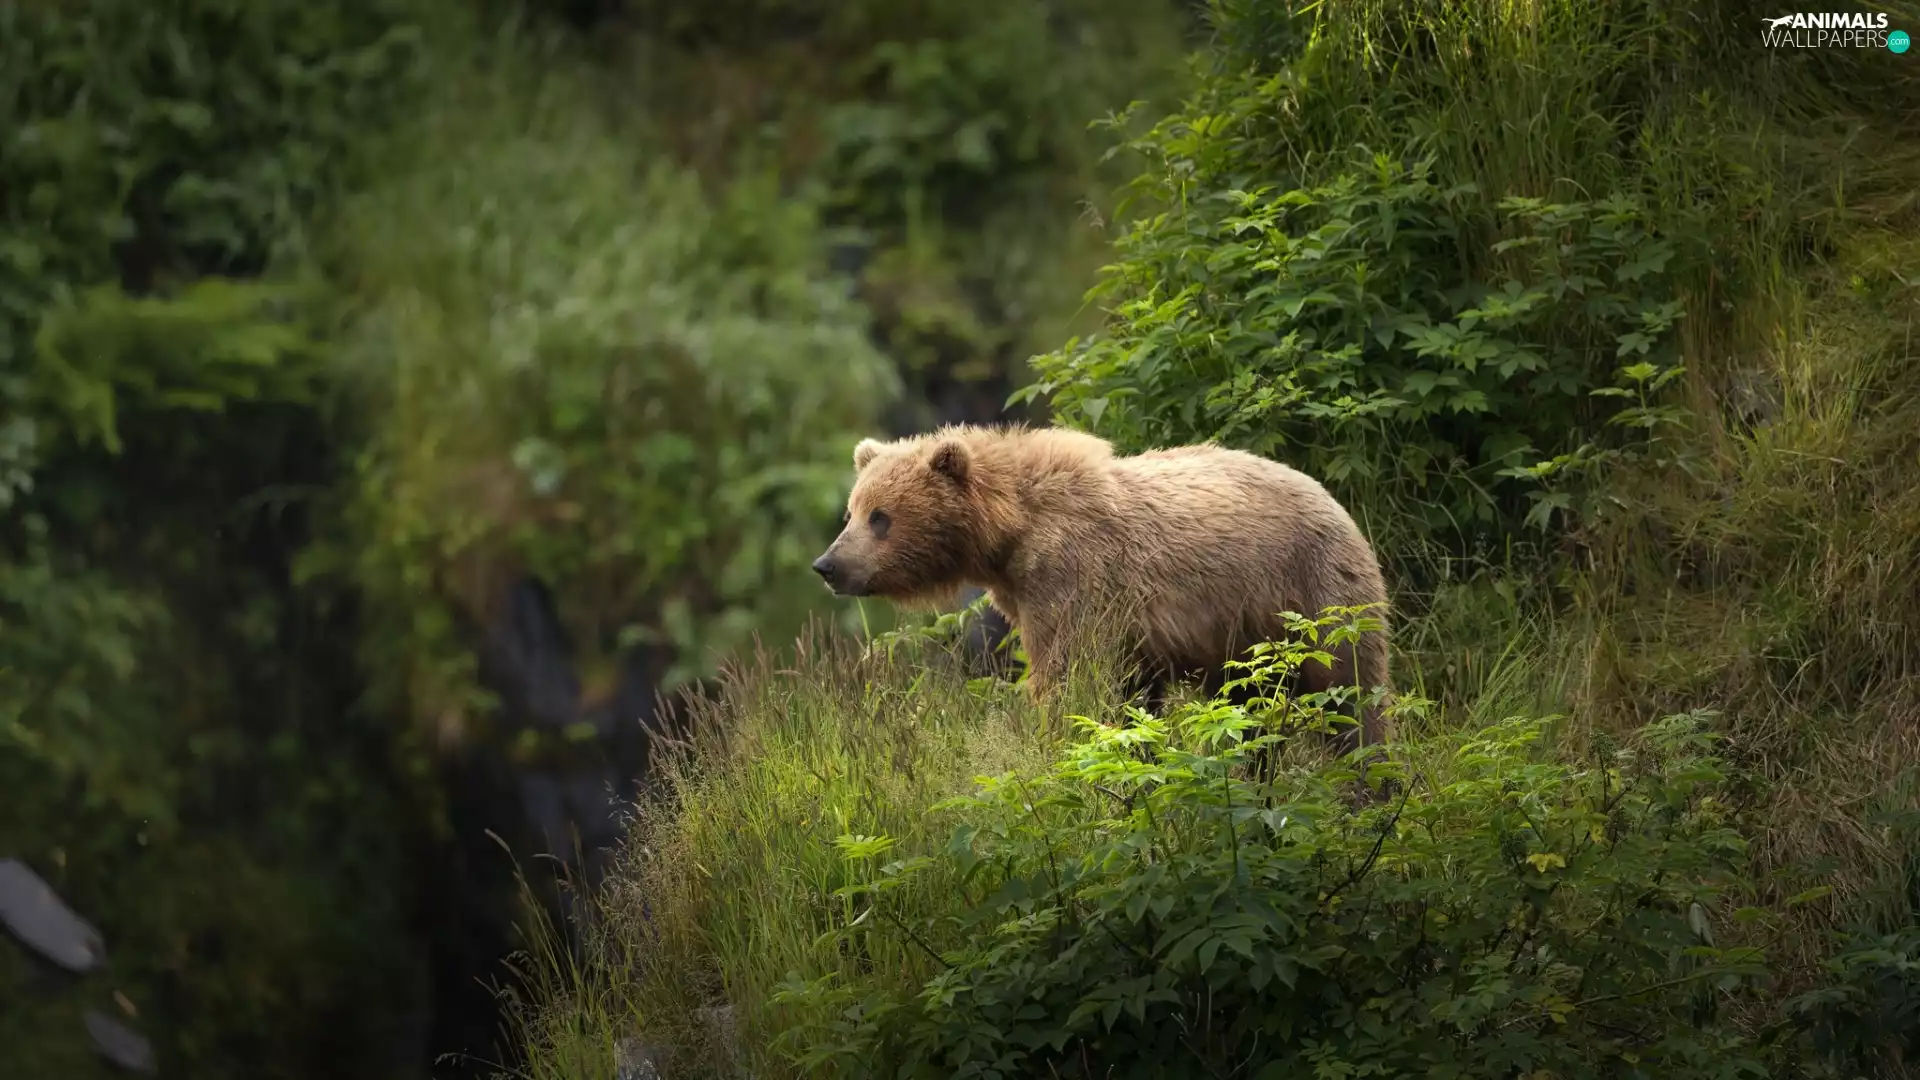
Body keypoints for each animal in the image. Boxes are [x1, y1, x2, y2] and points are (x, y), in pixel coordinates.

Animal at [810, 423, 1393, 752]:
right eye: (852, 511)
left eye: (881, 517)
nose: (828, 565)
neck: (1008, 533)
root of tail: (1334, 498)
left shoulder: (1073, 577)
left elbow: (1073, 683)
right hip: (1249, 637)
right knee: (1247, 706)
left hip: (1314, 592)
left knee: (1350, 691)